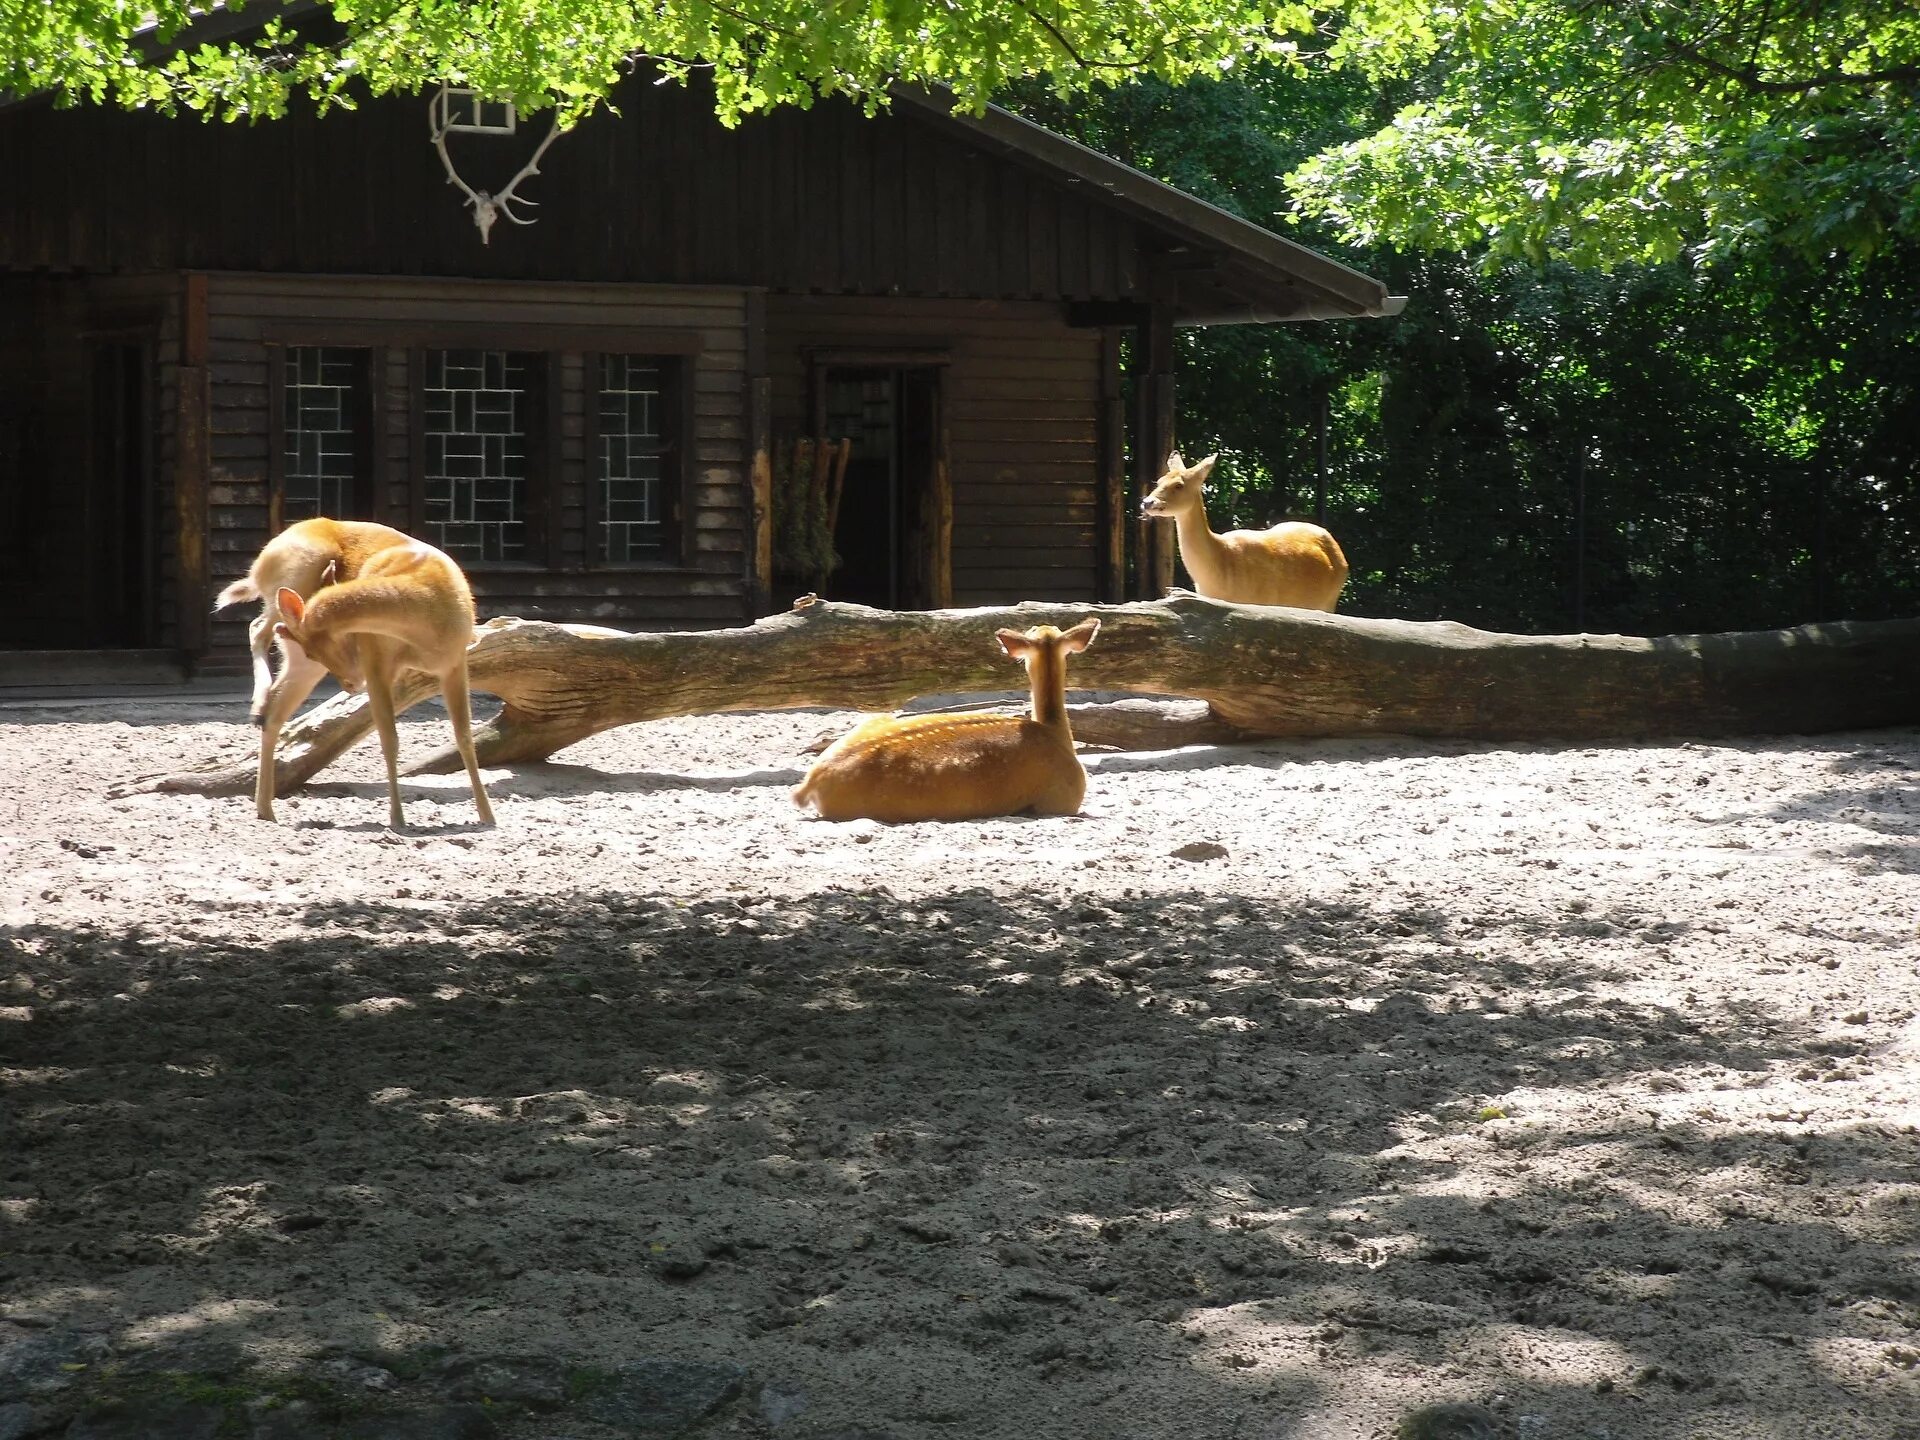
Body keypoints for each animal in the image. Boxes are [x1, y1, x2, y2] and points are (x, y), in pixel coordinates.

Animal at [218, 526, 495, 829]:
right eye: (352, 636)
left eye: (314, 649)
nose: (350, 684)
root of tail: (259, 565)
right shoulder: (377, 661)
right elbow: (389, 738)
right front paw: (397, 819)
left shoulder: (455, 662)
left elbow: (464, 736)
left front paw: (487, 816)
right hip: (298, 582)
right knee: (258, 628)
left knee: (275, 708)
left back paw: (265, 807)